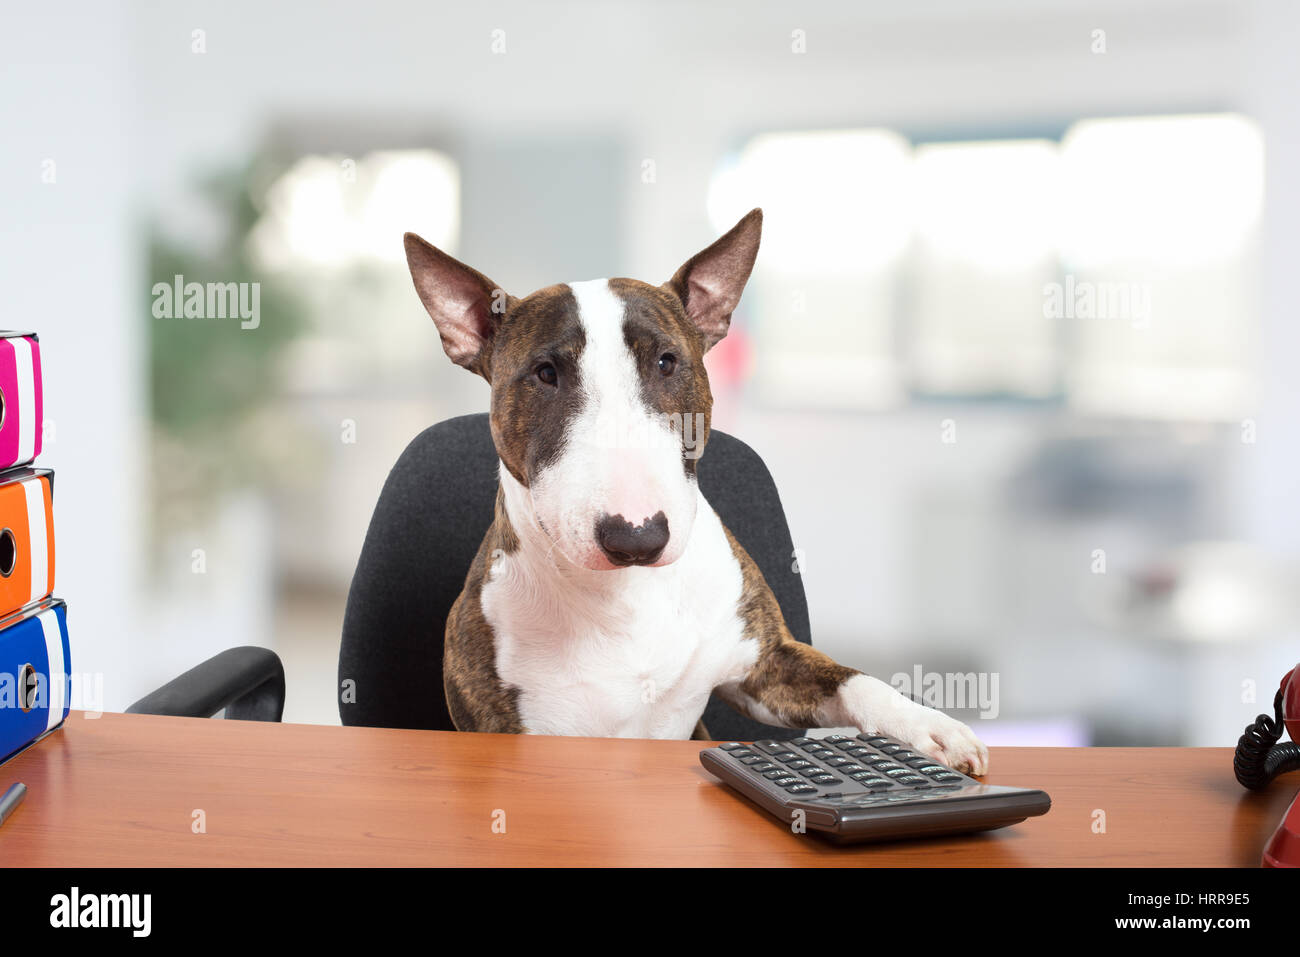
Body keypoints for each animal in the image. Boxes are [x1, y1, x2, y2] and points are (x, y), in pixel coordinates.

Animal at [400, 210, 987, 780]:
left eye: (666, 361)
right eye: (546, 374)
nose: (636, 537)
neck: (624, 597)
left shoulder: (766, 665)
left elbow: (852, 679)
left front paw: (931, 729)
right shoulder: (506, 724)